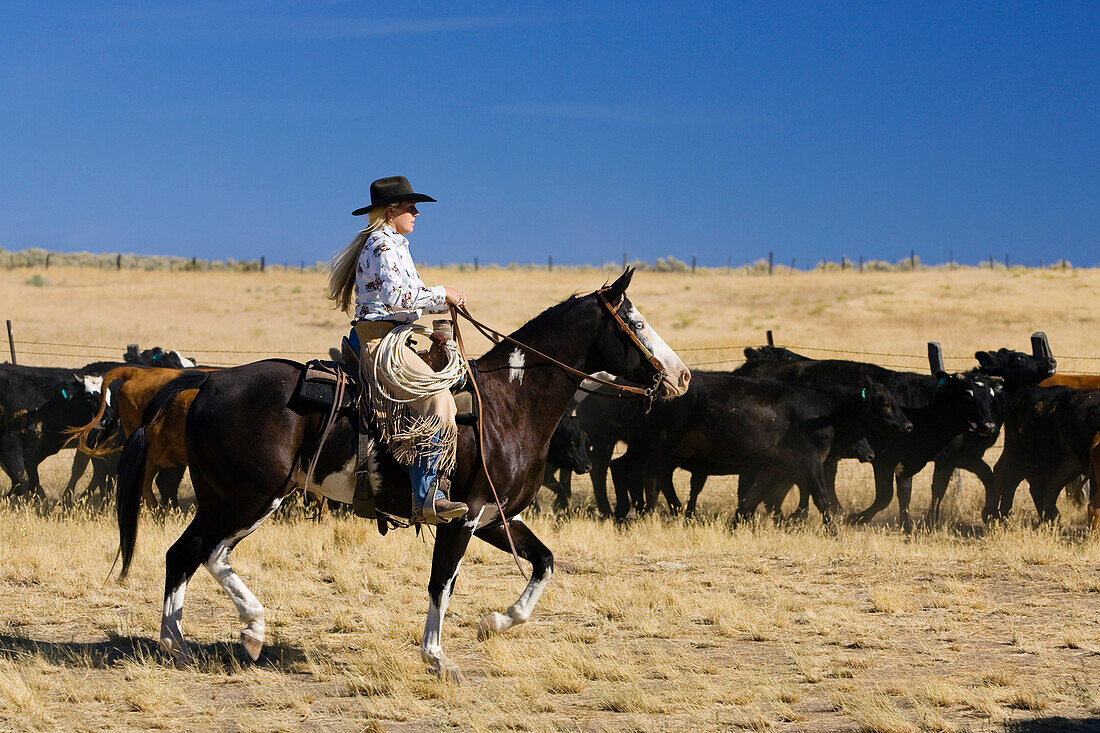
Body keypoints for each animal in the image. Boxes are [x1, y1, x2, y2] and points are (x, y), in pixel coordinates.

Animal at [118, 269, 686, 677]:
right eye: (635, 323)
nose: (679, 377)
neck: (508, 404)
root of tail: (208, 381)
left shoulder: (495, 518)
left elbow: (544, 562)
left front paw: (494, 622)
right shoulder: (461, 517)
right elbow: (442, 583)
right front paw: (437, 657)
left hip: (222, 497)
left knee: (182, 553)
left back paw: (175, 643)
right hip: (252, 497)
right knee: (211, 553)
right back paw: (252, 631)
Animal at [734, 352, 1003, 528]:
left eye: (991, 395)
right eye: (968, 395)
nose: (988, 426)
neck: (922, 407)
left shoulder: (912, 461)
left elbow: (910, 494)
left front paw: (908, 525)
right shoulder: (884, 460)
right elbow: (885, 497)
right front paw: (857, 518)